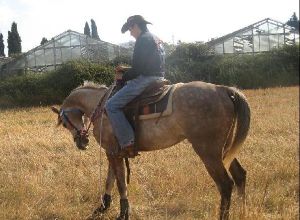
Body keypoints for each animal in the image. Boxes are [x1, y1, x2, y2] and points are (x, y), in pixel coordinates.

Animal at [51, 81, 251, 220]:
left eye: (64, 123)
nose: (82, 142)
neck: (101, 106)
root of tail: (223, 89)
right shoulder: (112, 152)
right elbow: (110, 179)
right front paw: (103, 207)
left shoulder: (114, 152)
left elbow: (120, 182)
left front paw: (123, 213)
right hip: (224, 150)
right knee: (240, 176)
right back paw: (242, 211)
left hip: (208, 152)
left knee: (225, 184)